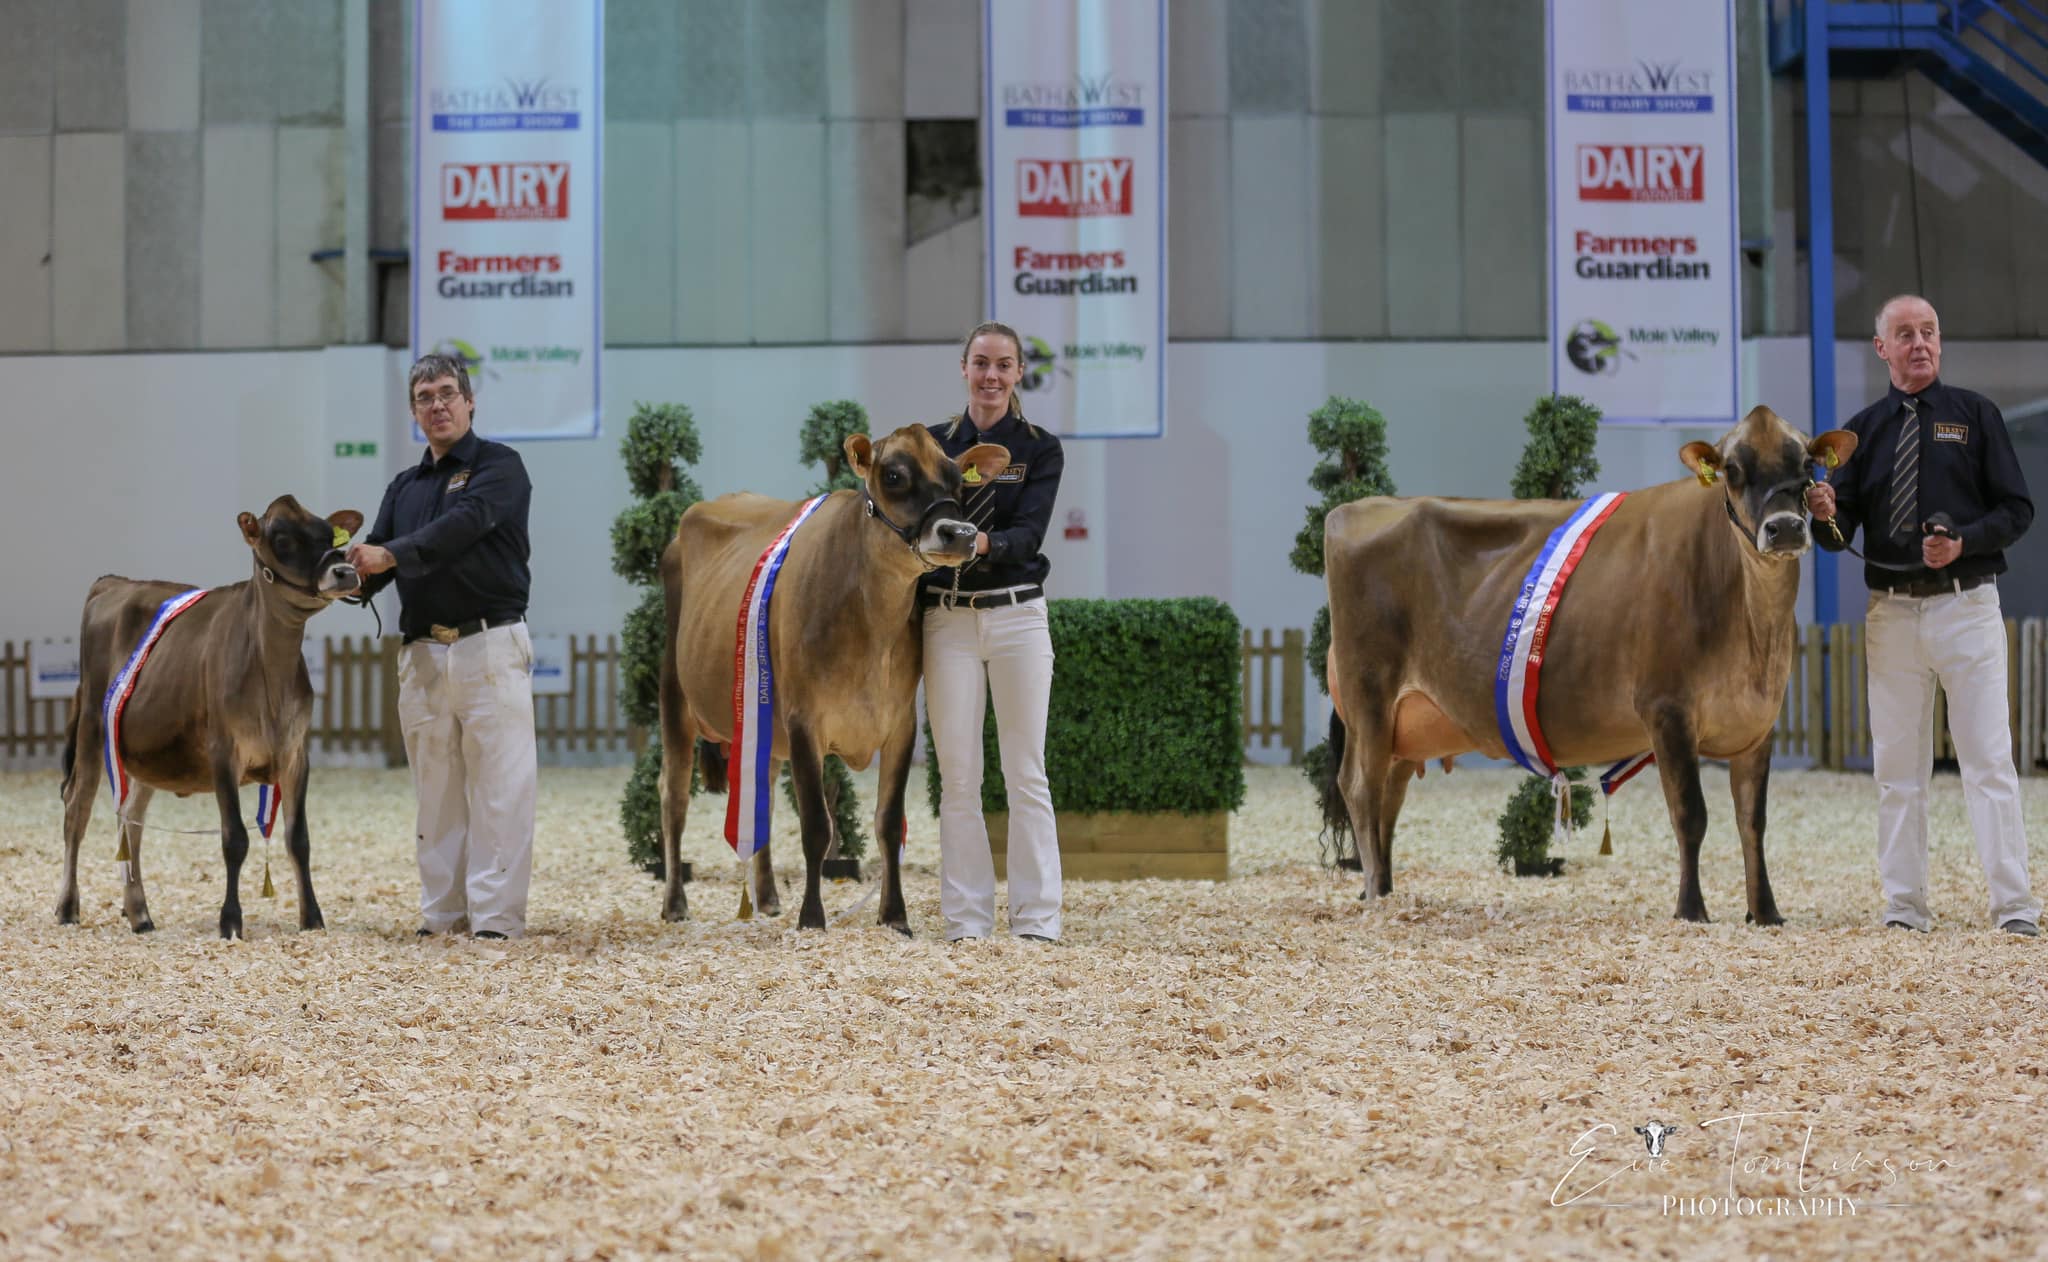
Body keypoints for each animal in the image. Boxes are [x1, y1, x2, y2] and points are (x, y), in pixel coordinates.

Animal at [56, 496, 365, 938]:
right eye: (282, 538)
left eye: (331, 536)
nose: (345, 570)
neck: (269, 673)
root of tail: (114, 581)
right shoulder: (223, 750)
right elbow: (234, 839)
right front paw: (230, 921)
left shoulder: (295, 753)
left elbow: (298, 838)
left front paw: (312, 918)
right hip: (92, 730)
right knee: (76, 810)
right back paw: (68, 906)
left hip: (144, 752)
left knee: (130, 819)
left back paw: (139, 913)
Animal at [657, 425, 1009, 931]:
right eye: (893, 475)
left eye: (959, 479)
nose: (958, 533)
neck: (871, 627)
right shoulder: (805, 720)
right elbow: (817, 827)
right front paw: (812, 918)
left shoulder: (900, 723)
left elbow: (888, 822)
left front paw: (895, 917)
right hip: (675, 692)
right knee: (674, 796)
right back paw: (675, 903)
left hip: (762, 720)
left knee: (761, 791)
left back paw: (768, 898)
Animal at [1323, 406, 1856, 923]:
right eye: (1732, 470)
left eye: (1808, 466)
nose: (1784, 527)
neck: (1752, 624)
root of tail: (1357, 508)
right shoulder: (1667, 710)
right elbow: (1691, 815)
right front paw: (1691, 910)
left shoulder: (1759, 723)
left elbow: (1753, 821)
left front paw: (1765, 912)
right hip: (1369, 693)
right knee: (1361, 788)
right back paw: (1375, 894)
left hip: (1403, 726)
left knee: (1388, 796)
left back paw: (1382, 890)